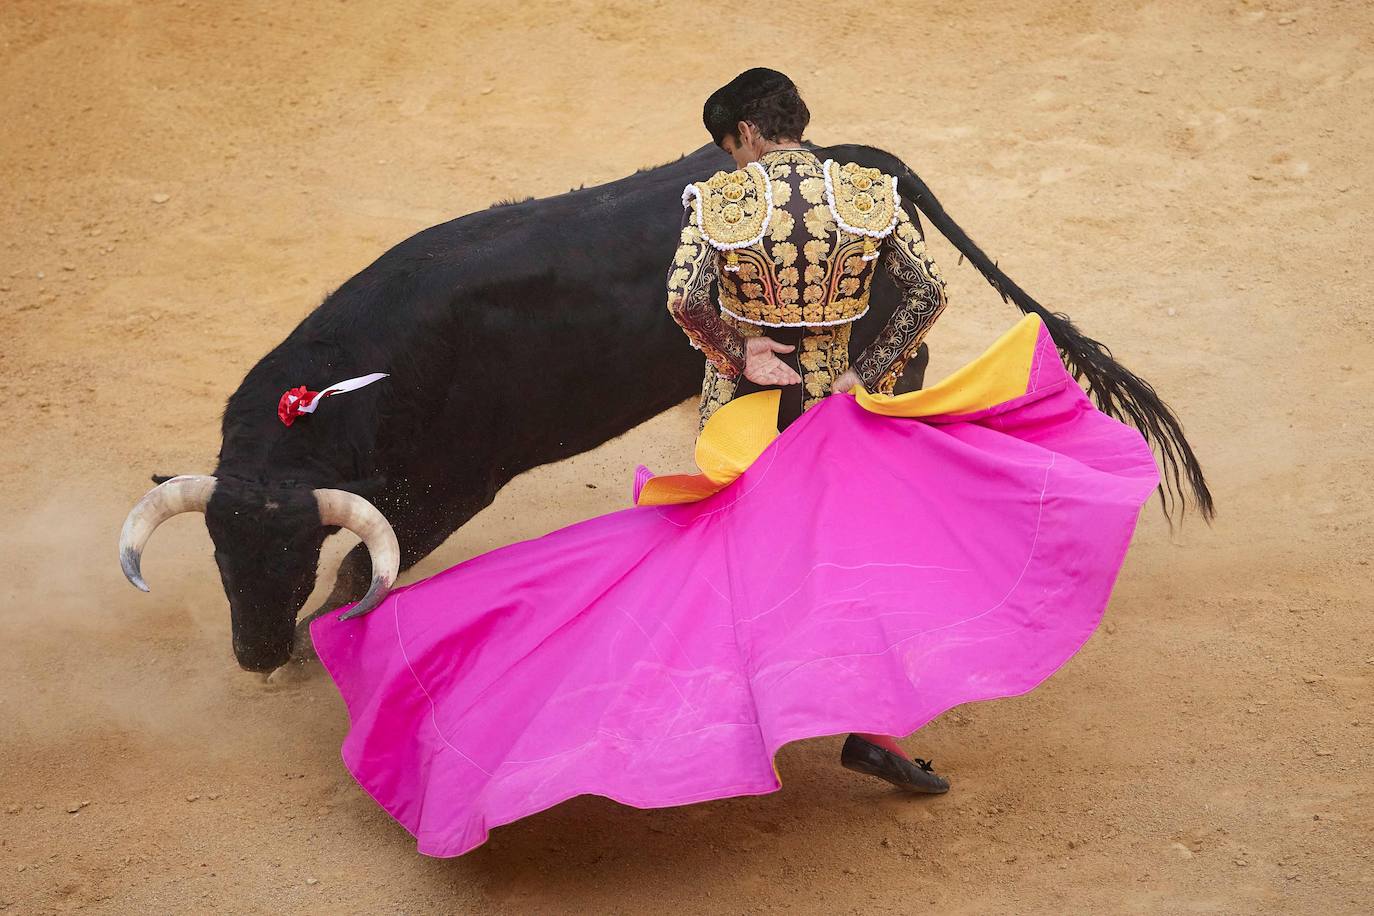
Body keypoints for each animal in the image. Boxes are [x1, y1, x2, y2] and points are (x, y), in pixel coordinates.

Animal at [120, 143, 1214, 672]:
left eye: (289, 551)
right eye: (217, 554)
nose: (256, 656)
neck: (351, 385)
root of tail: (862, 153)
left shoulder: (453, 484)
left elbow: (362, 569)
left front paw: (325, 643)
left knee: (908, 352)